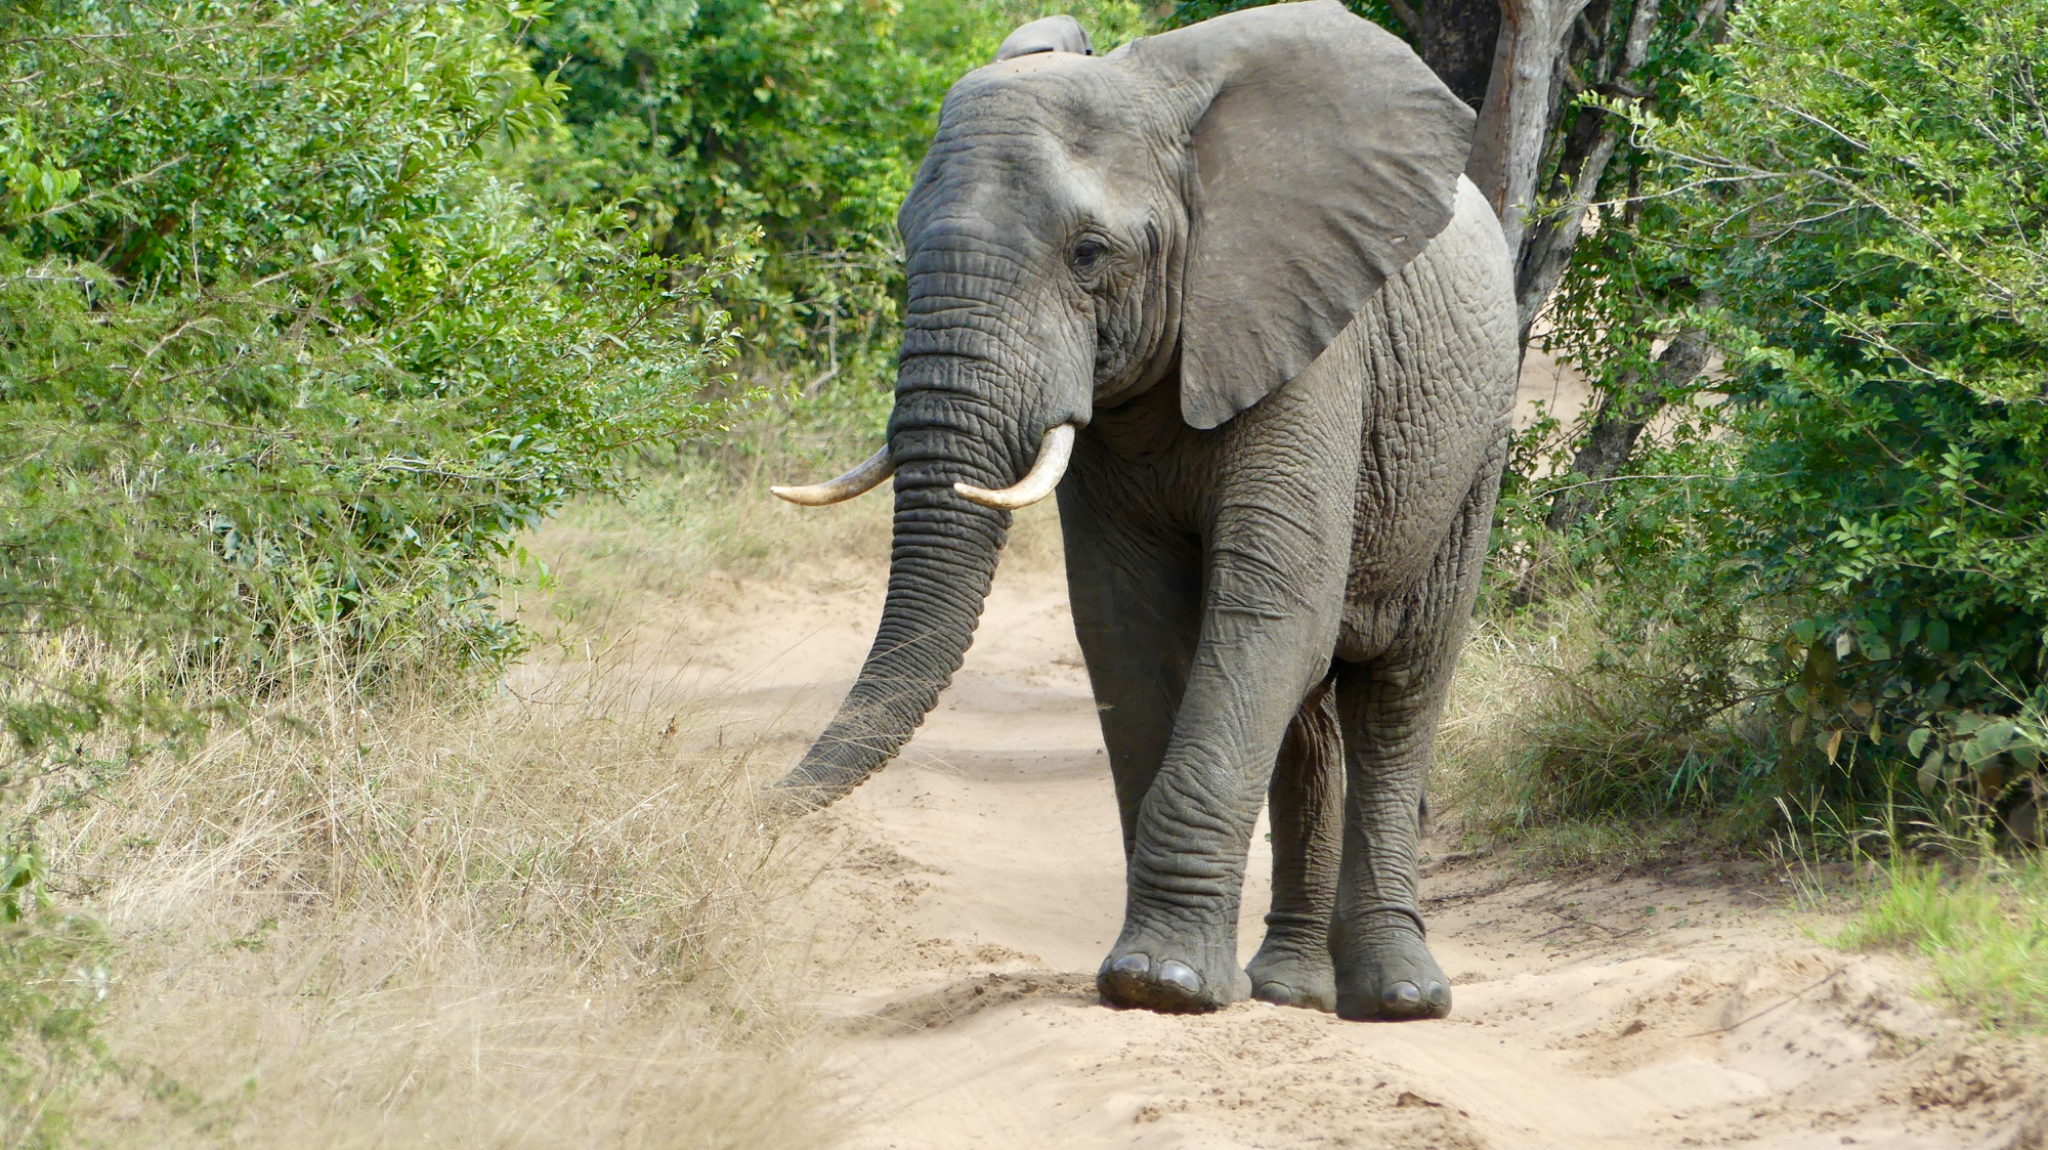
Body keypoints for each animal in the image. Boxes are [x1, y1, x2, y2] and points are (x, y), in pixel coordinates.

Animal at [771, 0, 1517, 1022]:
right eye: (907, 240)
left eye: (1089, 255)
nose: (747, 804)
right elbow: (1125, 624)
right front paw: (1153, 979)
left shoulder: (1311, 344)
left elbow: (1270, 607)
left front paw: (1163, 986)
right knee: (1311, 717)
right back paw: (1289, 990)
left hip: (1477, 444)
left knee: (1400, 687)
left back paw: (1399, 998)